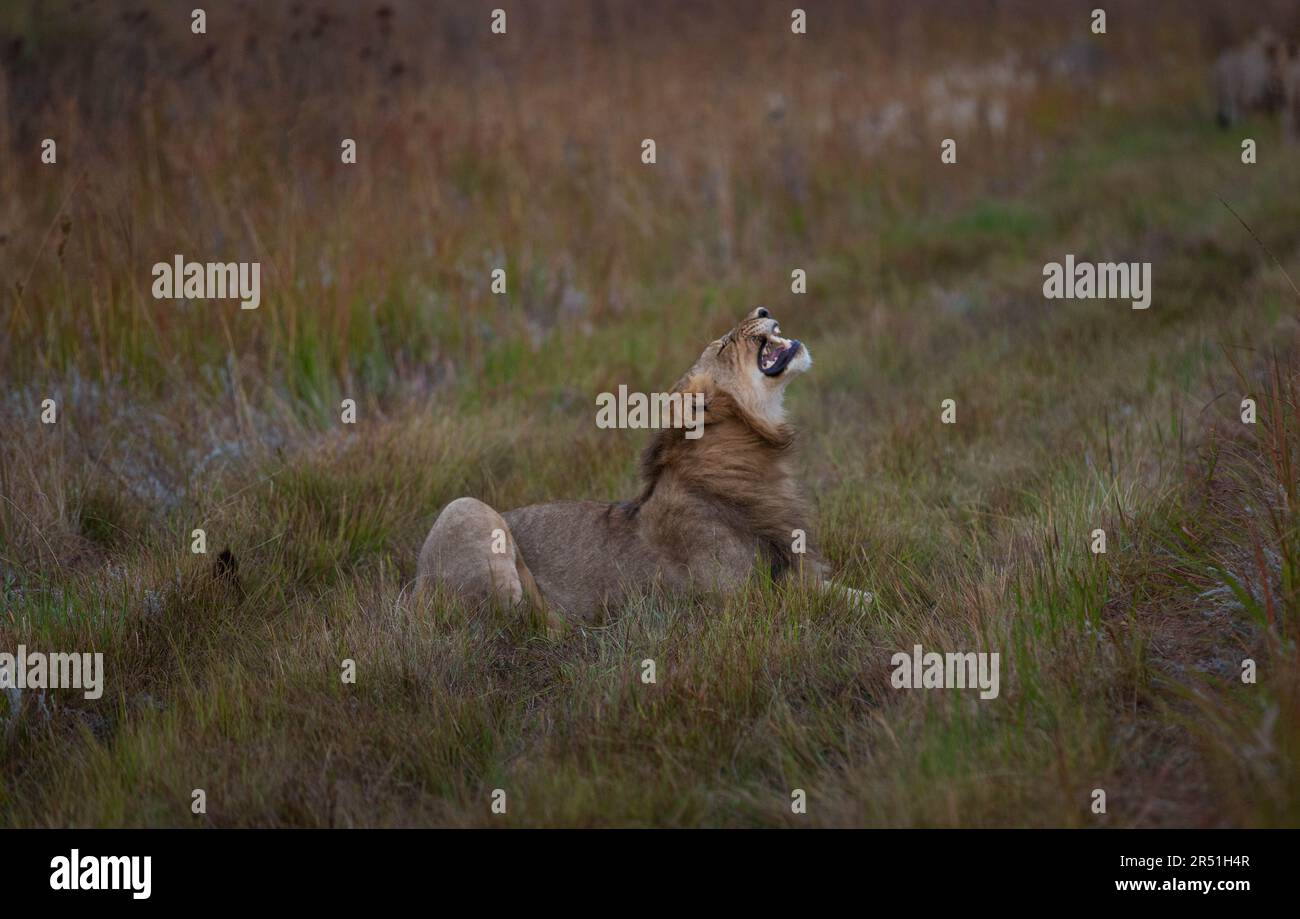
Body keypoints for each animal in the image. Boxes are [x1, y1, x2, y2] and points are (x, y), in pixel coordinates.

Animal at [416, 307, 871, 627]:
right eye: (725, 344)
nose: (762, 309)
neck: (755, 451)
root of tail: (409, 597)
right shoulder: (737, 601)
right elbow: (808, 600)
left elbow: (847, 591)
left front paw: (869, 597)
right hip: (465, 508)